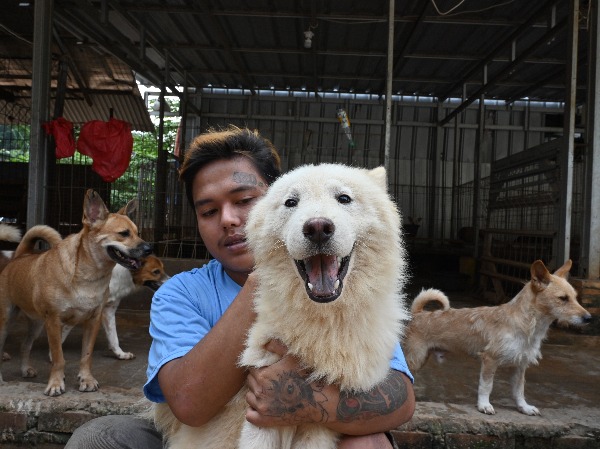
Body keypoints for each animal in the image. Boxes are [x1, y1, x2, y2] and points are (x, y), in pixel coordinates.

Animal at [0, 189, 152, 396]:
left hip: (37, 324)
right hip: (6, 321)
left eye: (138, 233)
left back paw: (25, 369)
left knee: (25, 346)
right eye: (124, 234)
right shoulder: (54, 322)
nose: (150, 248)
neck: (89, 275)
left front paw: (86, 379)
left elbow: (86, 355)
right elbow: (58, 357)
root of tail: (20, 256)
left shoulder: (93, 320)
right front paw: (56, 383)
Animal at [154, 164, 408, 448]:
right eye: (291, 202)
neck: (323, 320)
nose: (317, 228)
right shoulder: (264, 395)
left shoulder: (321, 416)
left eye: (343, 198)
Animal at [404, 260, 592, 416]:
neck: (527, 324)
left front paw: (524, 407)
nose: (589, 318)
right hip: (415, 358)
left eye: (575, 297)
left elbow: (519, 390)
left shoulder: (520, 366)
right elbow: (486, 386)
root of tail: (417, 313)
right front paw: (484, 405)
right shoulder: (490, 360)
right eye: (563, 298)